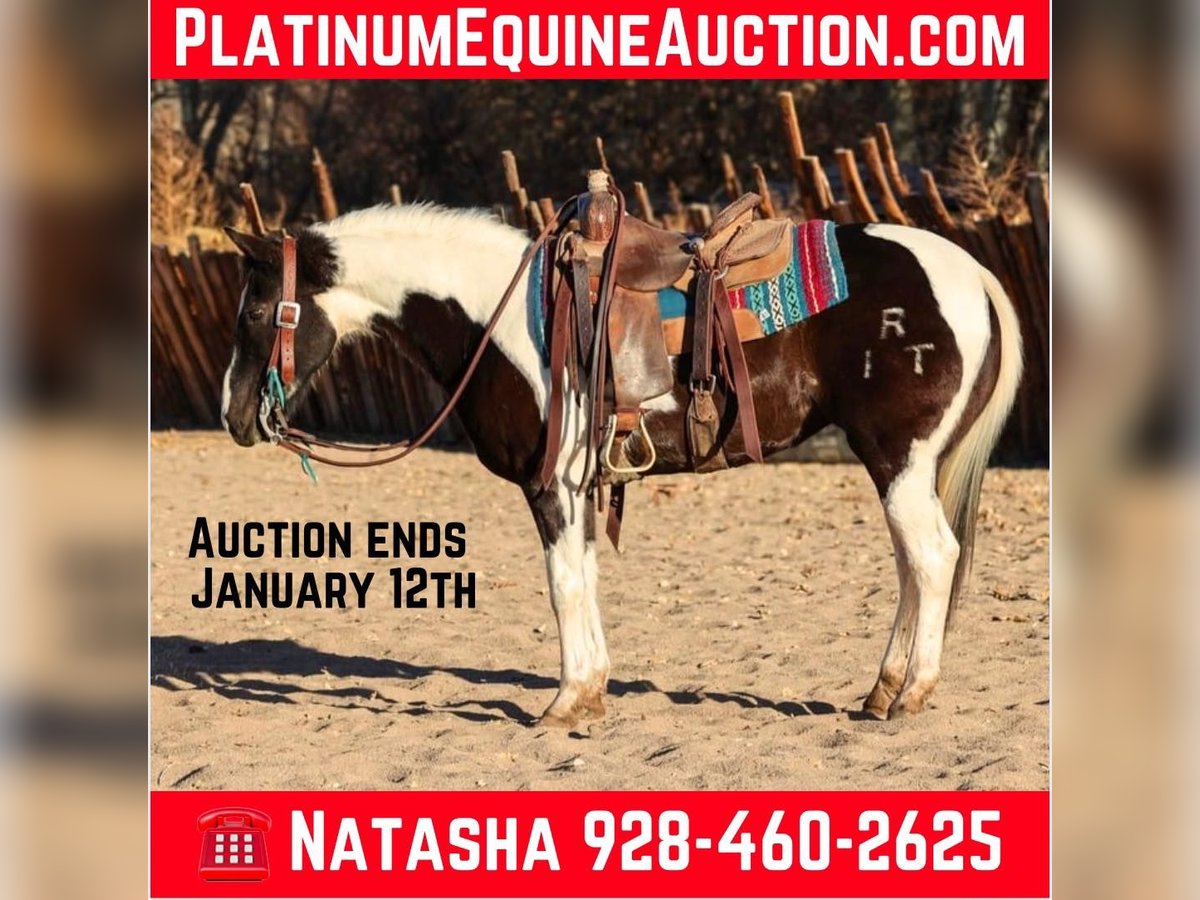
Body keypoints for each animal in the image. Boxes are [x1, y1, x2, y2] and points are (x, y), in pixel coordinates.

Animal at [220, 202, 1022, 726]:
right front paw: (592, 690)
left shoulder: (550, 484)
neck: (499, 319)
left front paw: (565, 702)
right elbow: (584, 579)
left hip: (899, 461)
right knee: (913, 567)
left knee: (932, 558)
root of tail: (972, 275)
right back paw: (883, 689)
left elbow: (564, 585)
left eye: (255, 313)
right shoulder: (579, 486)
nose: (234, 417)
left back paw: (911, 694)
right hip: (904, 468)